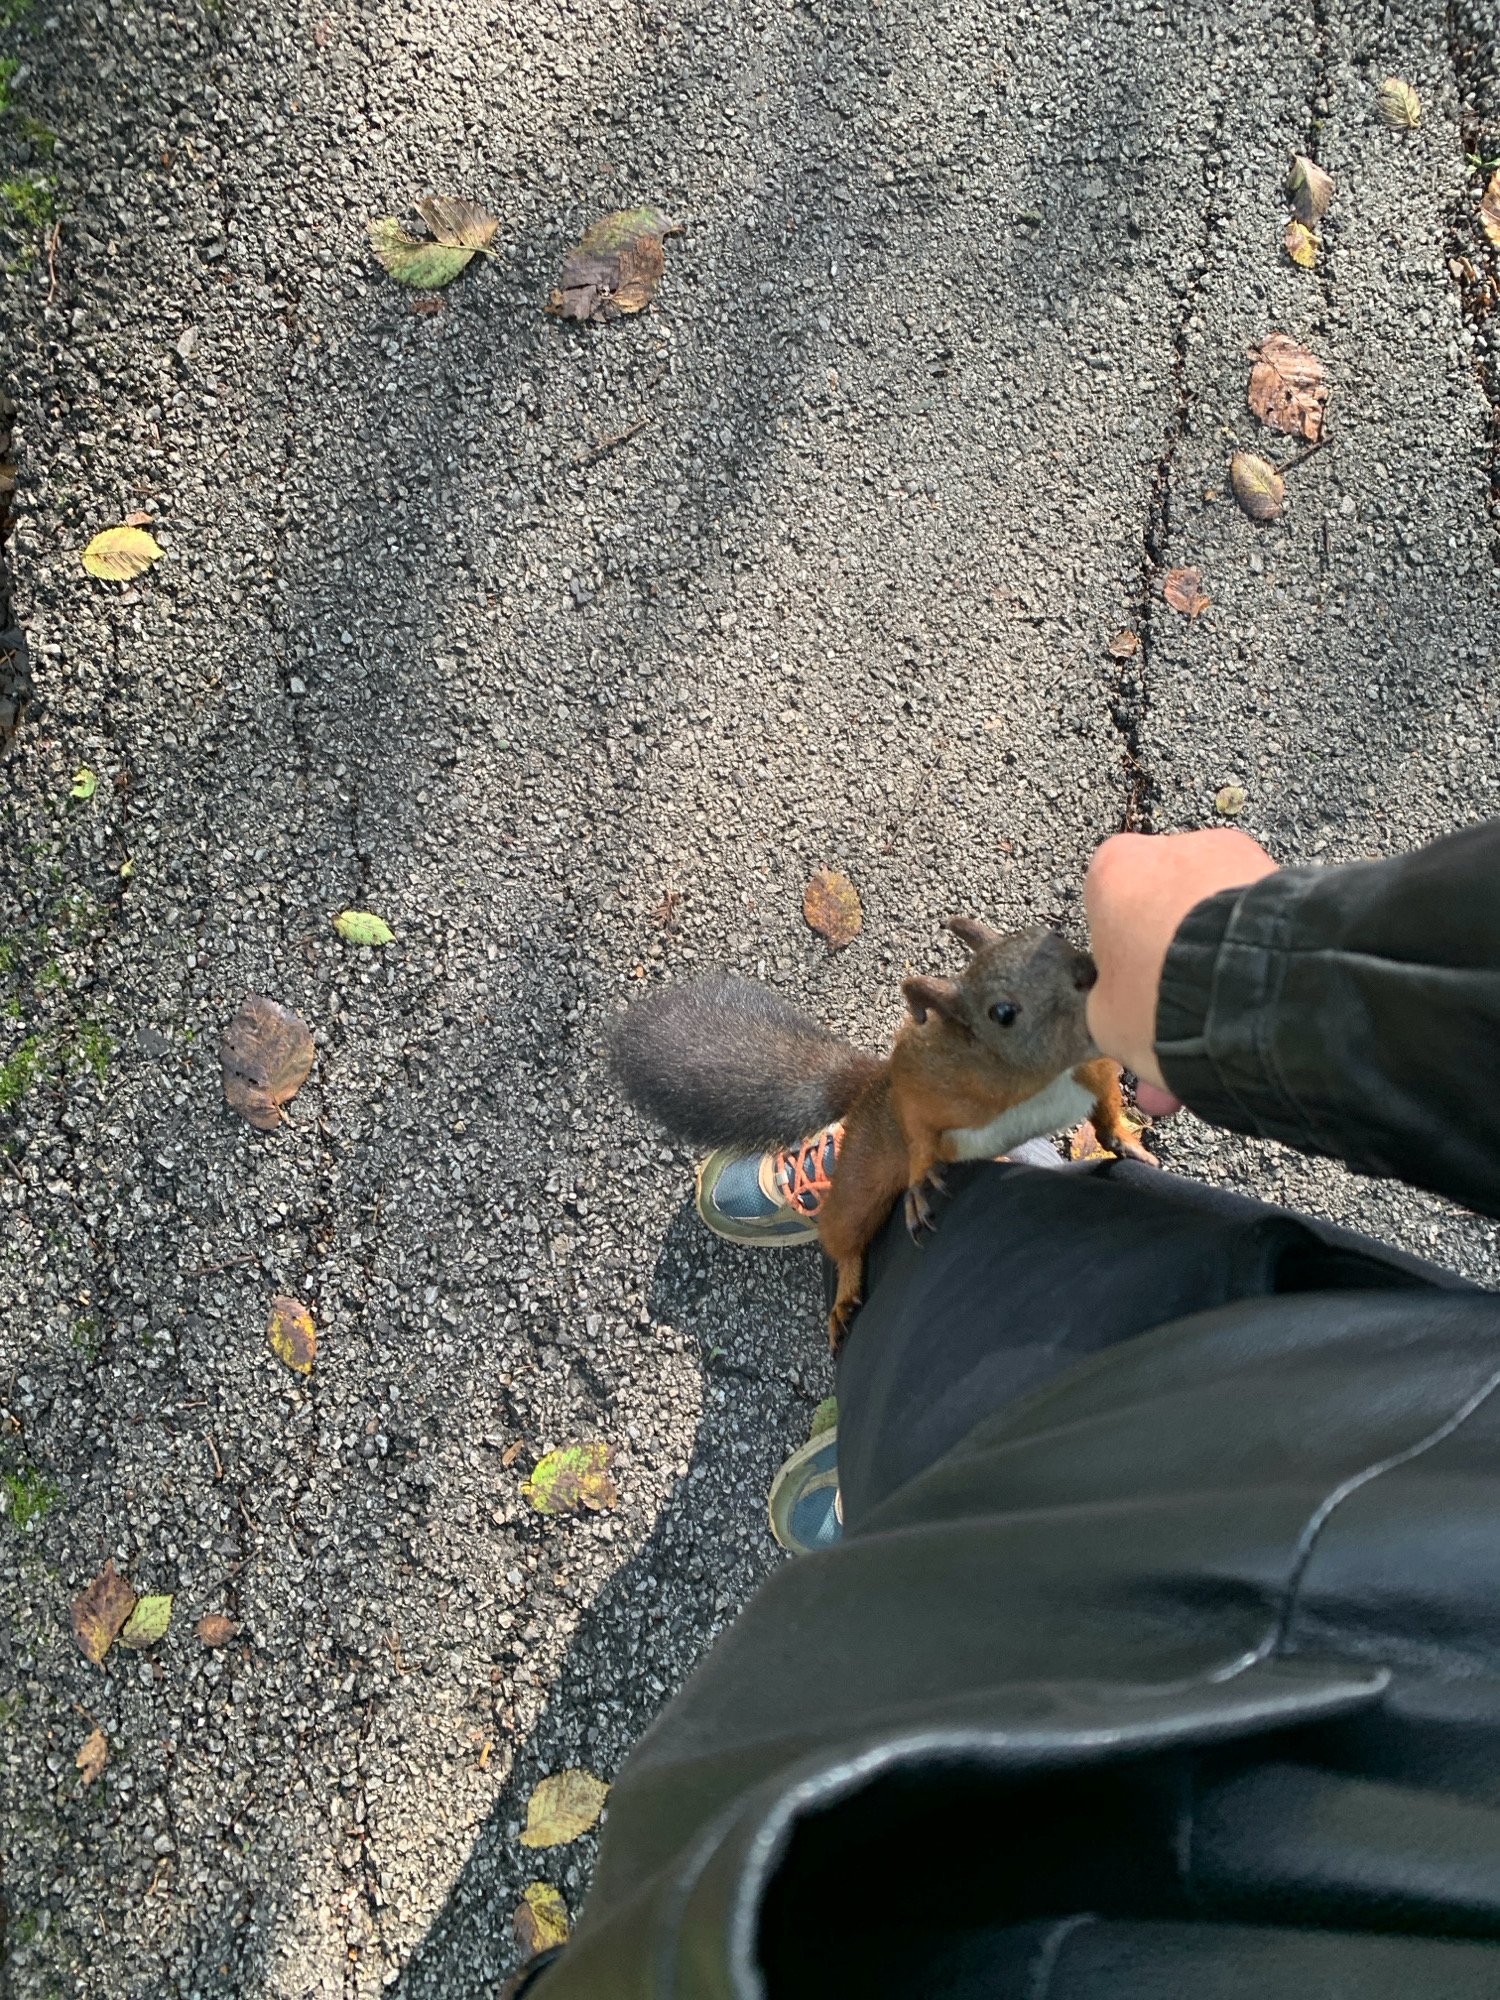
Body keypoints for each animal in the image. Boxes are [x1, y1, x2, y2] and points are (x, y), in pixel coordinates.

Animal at [611, 918, 1157, 1352]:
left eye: (1055, 936)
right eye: (1003, 1013)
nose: (1091, 977)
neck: (1043, 1075)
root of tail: (867, 1091)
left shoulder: (1094, 1067)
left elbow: (1106, 1105)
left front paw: (1125, 1141)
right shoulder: (929, 1087)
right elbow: (920, 1128)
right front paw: (920, 1184)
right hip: (862, 1175)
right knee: (845, 1235)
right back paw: (845, 1291)